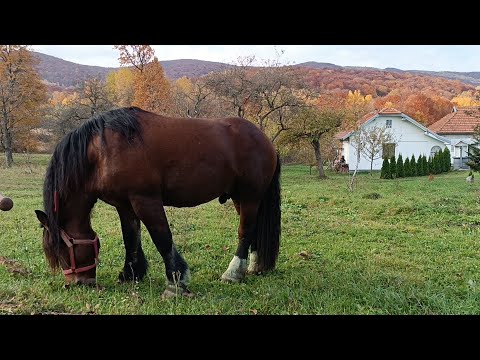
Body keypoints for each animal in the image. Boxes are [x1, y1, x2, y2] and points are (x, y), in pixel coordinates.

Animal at [34, 107, 282, 298]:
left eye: (61, 248)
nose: (78, 283)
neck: (103, 152)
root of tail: (265, 140)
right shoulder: (124, 205)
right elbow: (131, 239)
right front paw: (131, 274)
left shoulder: (145, 200)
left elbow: (162, 238)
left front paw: (176, 282)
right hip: (241, 198)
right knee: (253, 229)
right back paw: (254, 266)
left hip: (250, 196)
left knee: (245, 231)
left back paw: (233, 273)